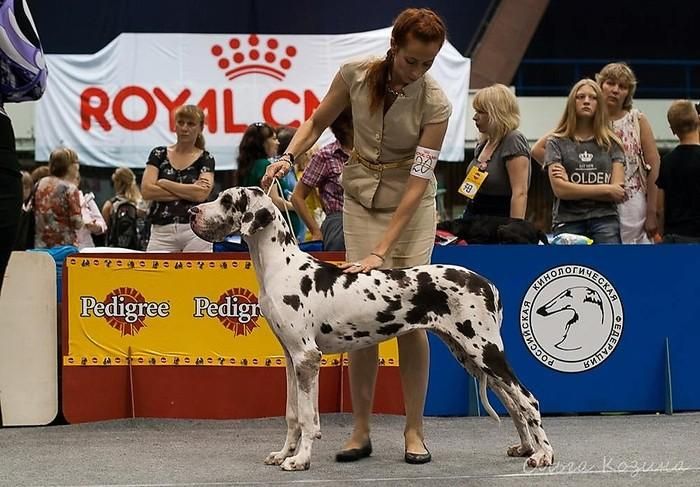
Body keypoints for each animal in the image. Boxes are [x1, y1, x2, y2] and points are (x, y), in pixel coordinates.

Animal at [189, 187, 554, 471]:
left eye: (226, 200)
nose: (193, 211)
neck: (280, 266)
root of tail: (488, 283)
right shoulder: (291, 358)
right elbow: (292, 414)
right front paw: (283, 454)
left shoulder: (307, 357)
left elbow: (307, 417)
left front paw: (300, 460)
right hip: (470, 355)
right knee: (513, 402)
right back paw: (526, 447)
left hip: (485, 351)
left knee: (529, 399)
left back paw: (544, 455)